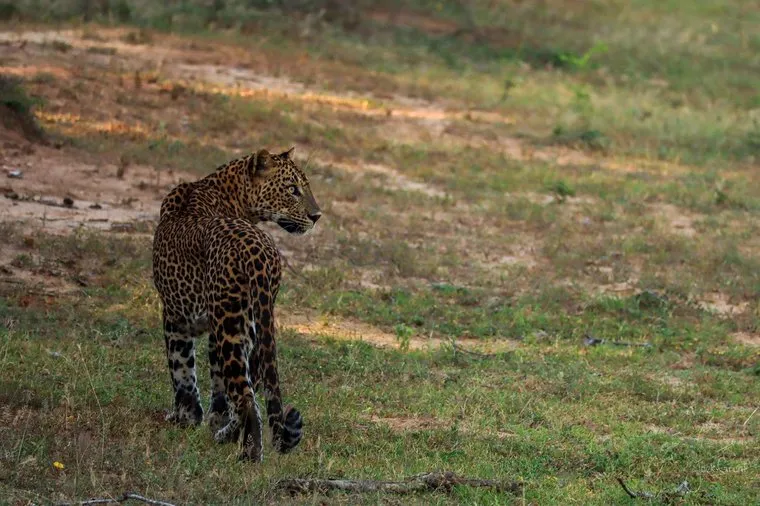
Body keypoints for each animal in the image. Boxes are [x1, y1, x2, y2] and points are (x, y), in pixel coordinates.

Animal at [152, 147, 321, 461]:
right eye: (293, 189)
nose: (317, 216)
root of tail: (259, 252)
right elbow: (218, 387)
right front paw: (211, 421)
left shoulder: (174, 316)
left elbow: (181, 369)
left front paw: (185, 418)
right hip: (251, 324)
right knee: (250, 389)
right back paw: (228, 437)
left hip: (229, 326)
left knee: (245, 397)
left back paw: (249, 455)